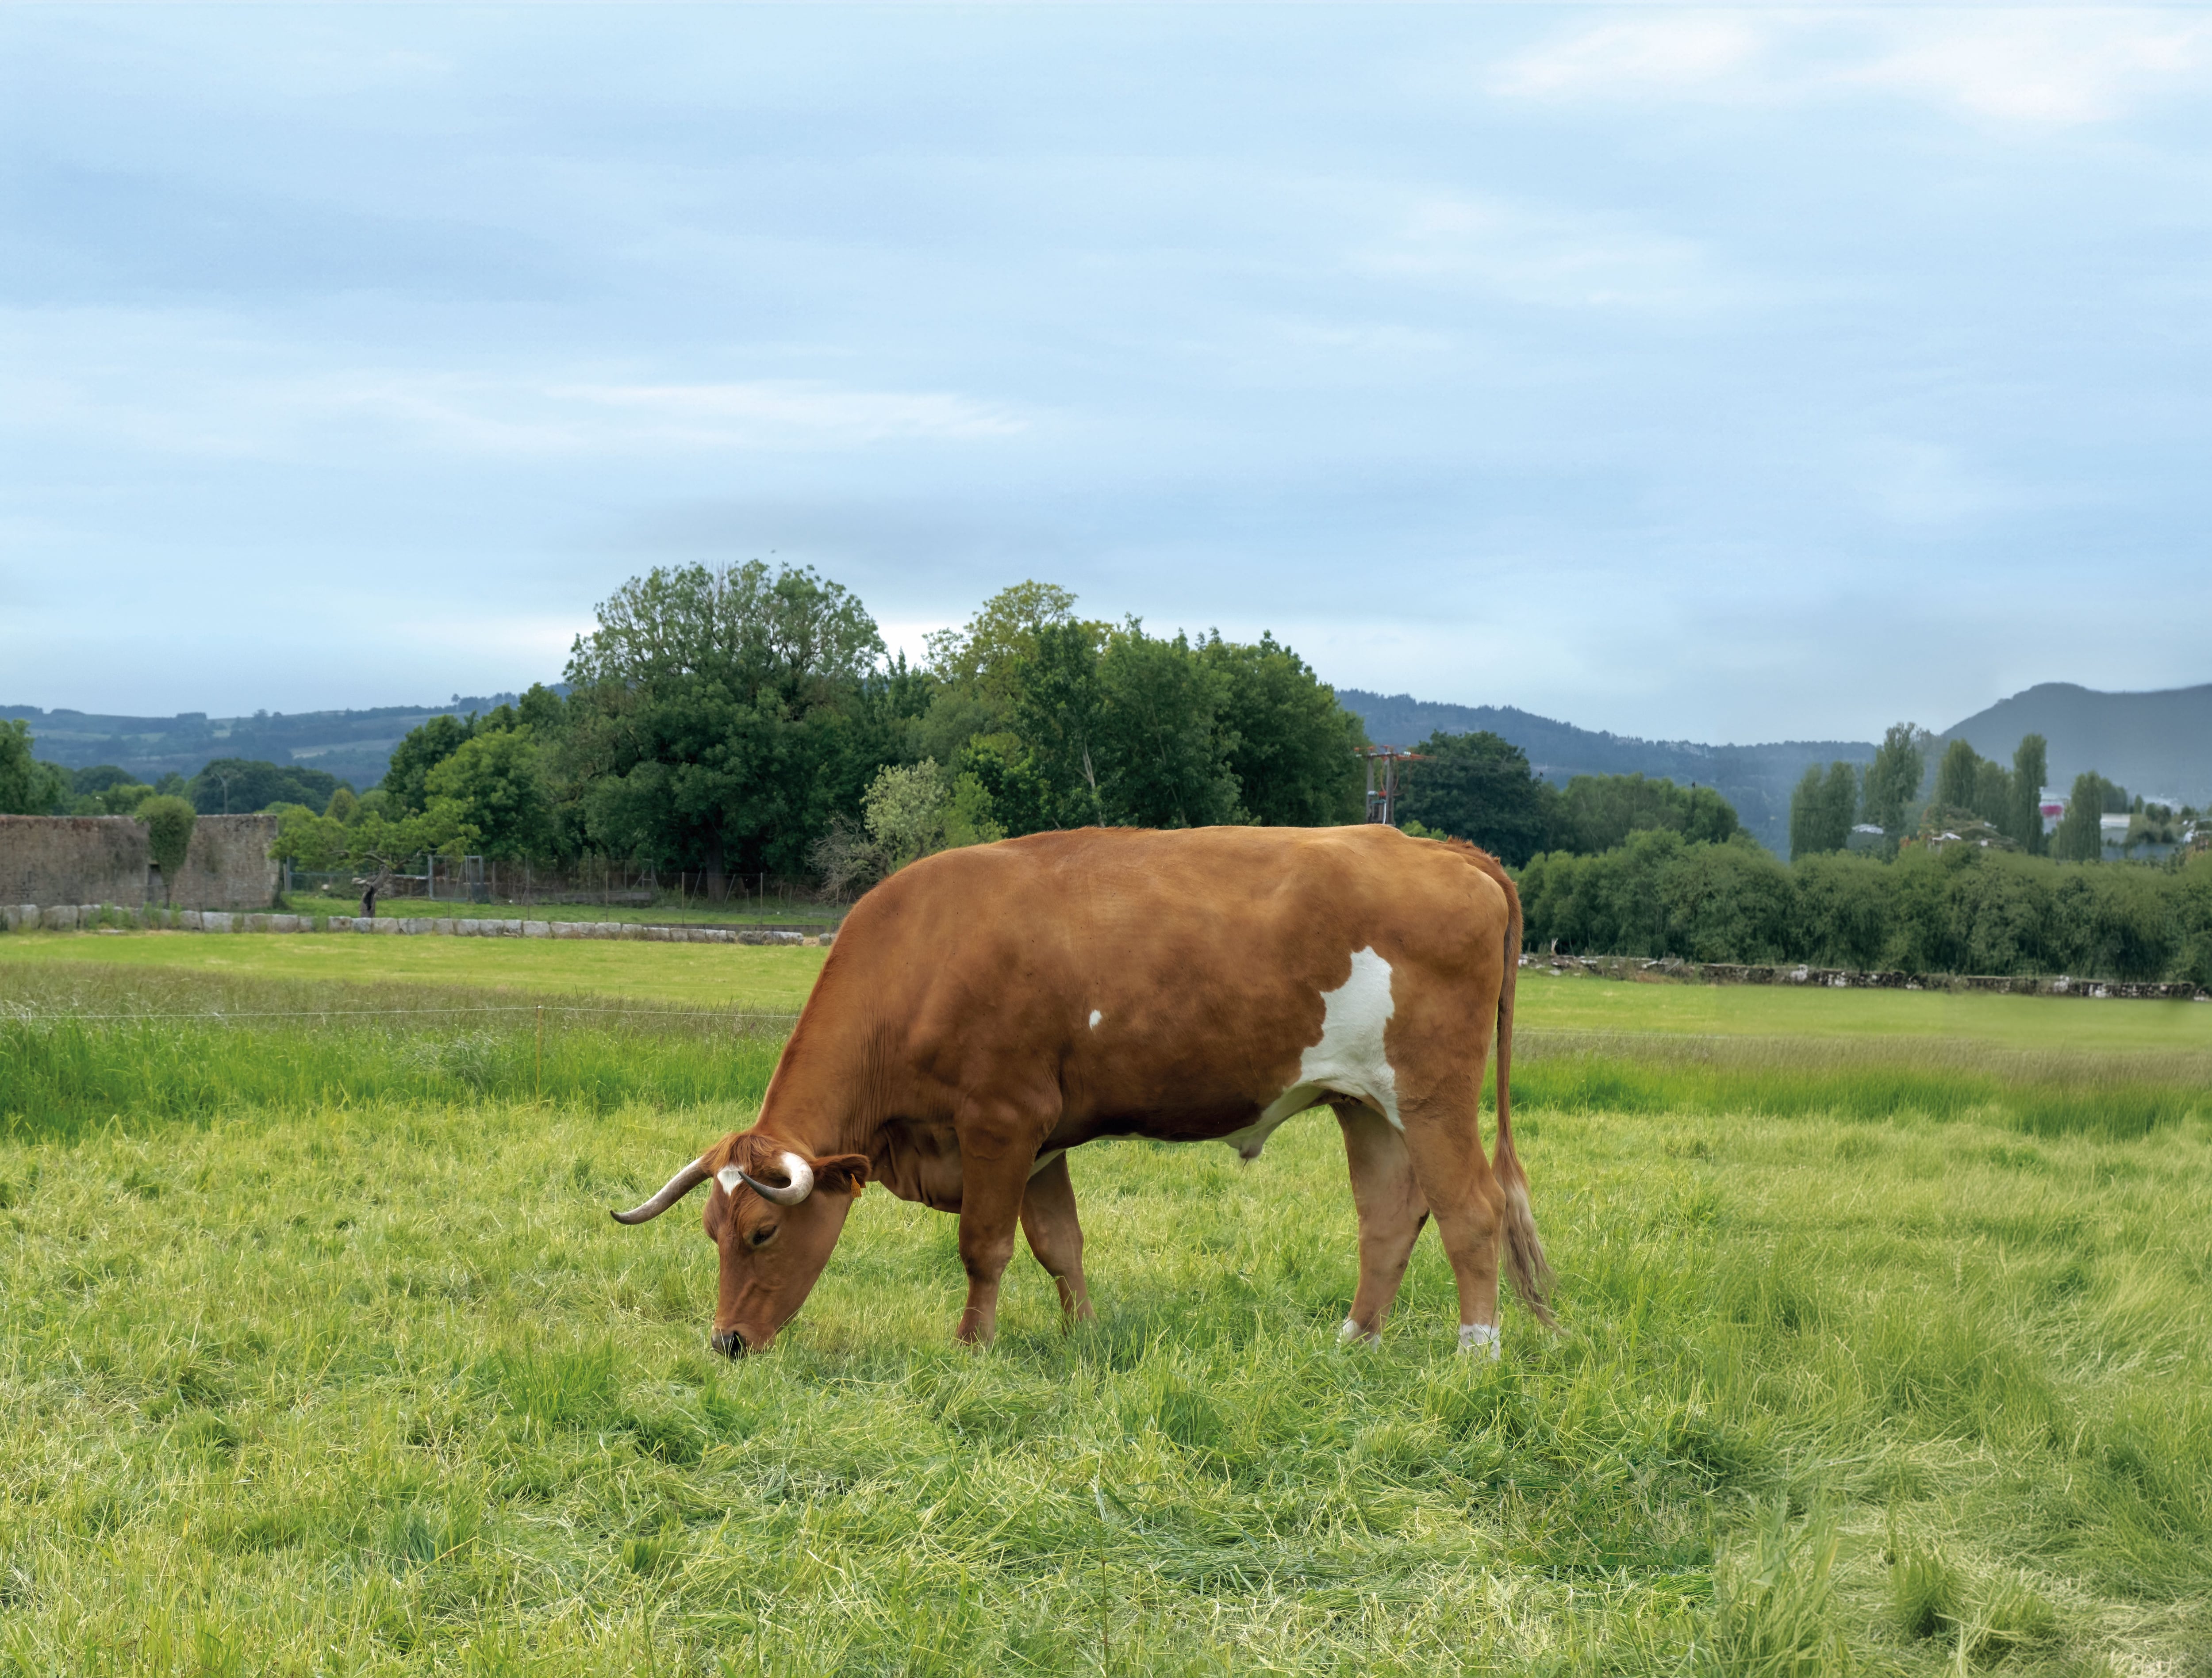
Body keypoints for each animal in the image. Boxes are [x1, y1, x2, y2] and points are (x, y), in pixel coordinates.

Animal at [606, 831, 1548, 1362]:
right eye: (711, 1230)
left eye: (763, 1232)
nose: (727, 1343)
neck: (925, 954)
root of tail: (1441, 847)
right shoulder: (1042, 1140)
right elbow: (1061, 1243)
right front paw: (1084, 1336)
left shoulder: (1000, 1121)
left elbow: (985, 1246)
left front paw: (972, 1347)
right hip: (1366, 1102)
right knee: (1388, 1216)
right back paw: (1354, 1342)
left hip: (1431, 1096)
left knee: (1472, 1209)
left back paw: (1477, 1351)